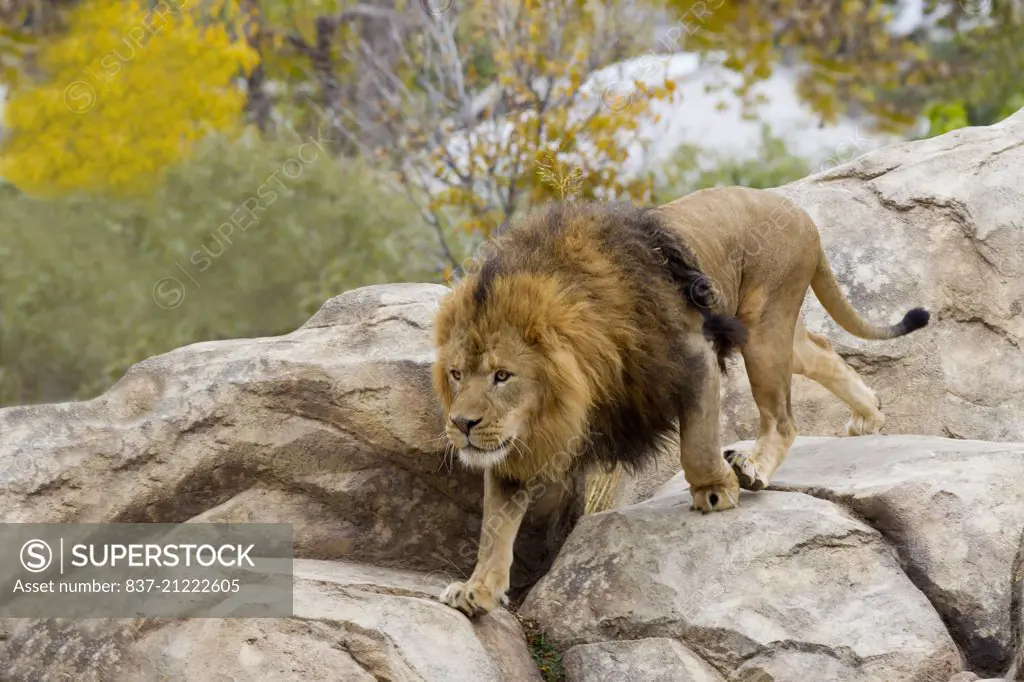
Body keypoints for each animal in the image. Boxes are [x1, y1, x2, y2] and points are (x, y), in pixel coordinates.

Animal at [432, 186, 929, 614]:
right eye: (457, 374)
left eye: (502, 375)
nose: (462, 424)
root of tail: (799, 212)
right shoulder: (516, 441)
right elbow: (496, 524)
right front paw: (478, 589)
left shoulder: (692, 357)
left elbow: (697, 445)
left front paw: (715, 491)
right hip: (767, 331)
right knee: (819, 350)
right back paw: (869, 414)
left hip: (764, 328)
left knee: (783, 418)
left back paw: (753, 467)